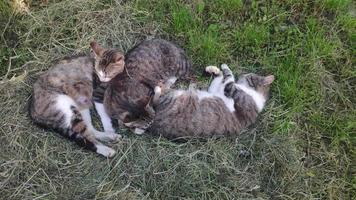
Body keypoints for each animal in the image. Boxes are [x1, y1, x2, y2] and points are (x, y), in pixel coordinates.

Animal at [125, 64, 276, 139]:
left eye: (250, 75)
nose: (244, 74)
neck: (254, 94)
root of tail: (152, 125)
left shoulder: (233, 93)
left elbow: (229, 77)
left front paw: (224, 68)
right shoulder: (217, 90)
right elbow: (221, 79)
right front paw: (214, 69)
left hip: (172, 99)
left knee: (157, 98)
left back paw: (159, 87)